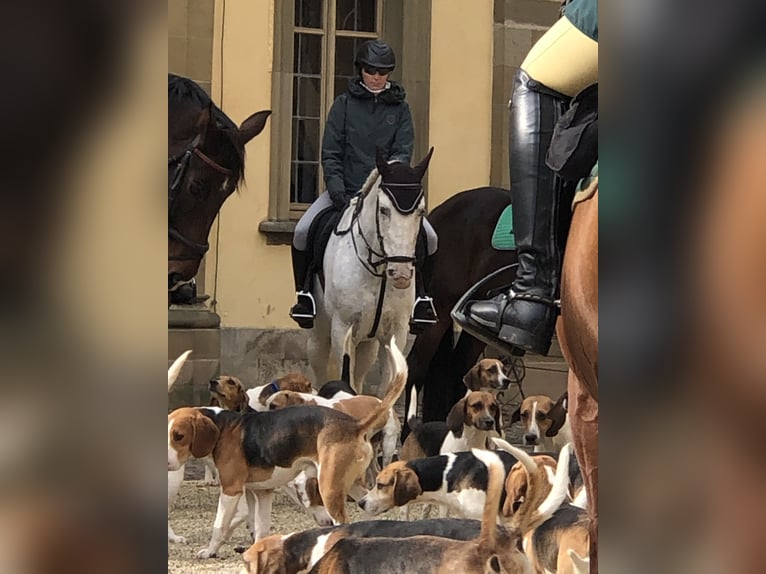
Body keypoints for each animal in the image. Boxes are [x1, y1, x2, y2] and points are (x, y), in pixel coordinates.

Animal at [308, 147, 436, 396]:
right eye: (384, 210)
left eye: (420, 211)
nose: (401, 274)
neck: (379, 271)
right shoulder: (342, 329)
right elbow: (344, 381)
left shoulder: (396, 333)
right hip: (320, 333)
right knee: (320, 371)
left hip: (368, 343)